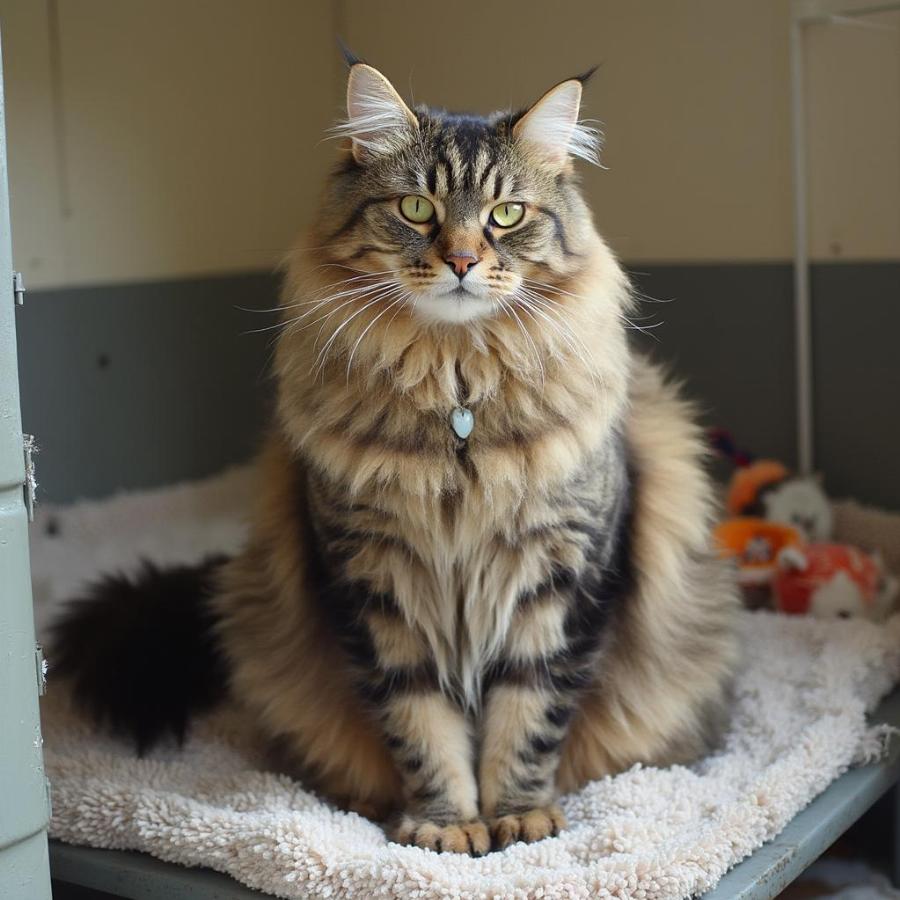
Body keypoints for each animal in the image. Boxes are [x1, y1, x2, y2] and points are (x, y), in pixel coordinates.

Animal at [52, 59, 740, 856]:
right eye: (417, 208)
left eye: (507, 215)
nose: (463, 260)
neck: (457, 388)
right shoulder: (377, 584)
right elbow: (420, 725)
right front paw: (445, 826)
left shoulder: (561, 578)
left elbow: (528, 716)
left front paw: (519, 818)